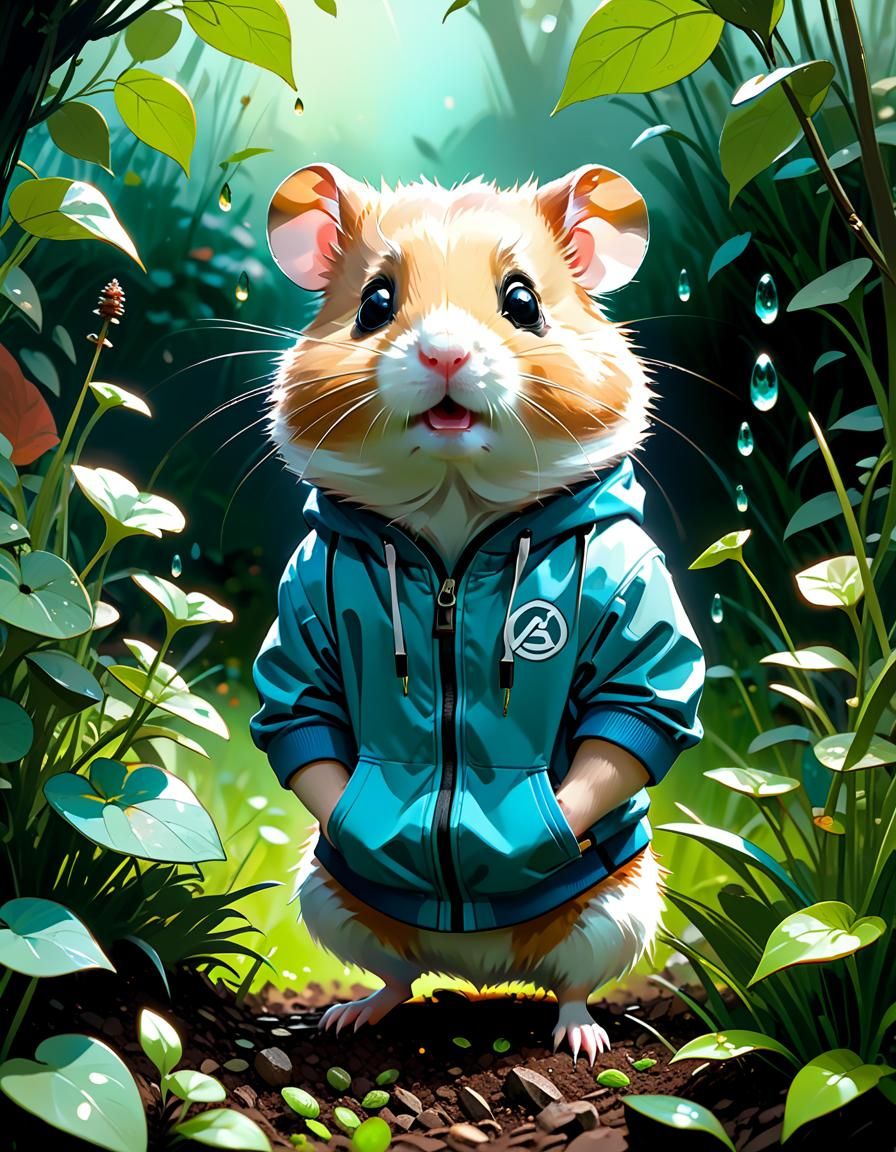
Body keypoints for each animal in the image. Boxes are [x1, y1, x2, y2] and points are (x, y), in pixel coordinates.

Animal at [250, 164, 705, 1064]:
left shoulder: (639, 604)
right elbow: (301, 715)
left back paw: (580, 1041)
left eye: (522, 300)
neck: (456, 532)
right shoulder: (303, 606)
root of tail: (480, 964)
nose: (444, 353)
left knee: (572, 986)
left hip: (618, 911)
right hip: (329, 899)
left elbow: (633, 710)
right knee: (395, 975)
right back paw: (347, 1016)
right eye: (375, 303)